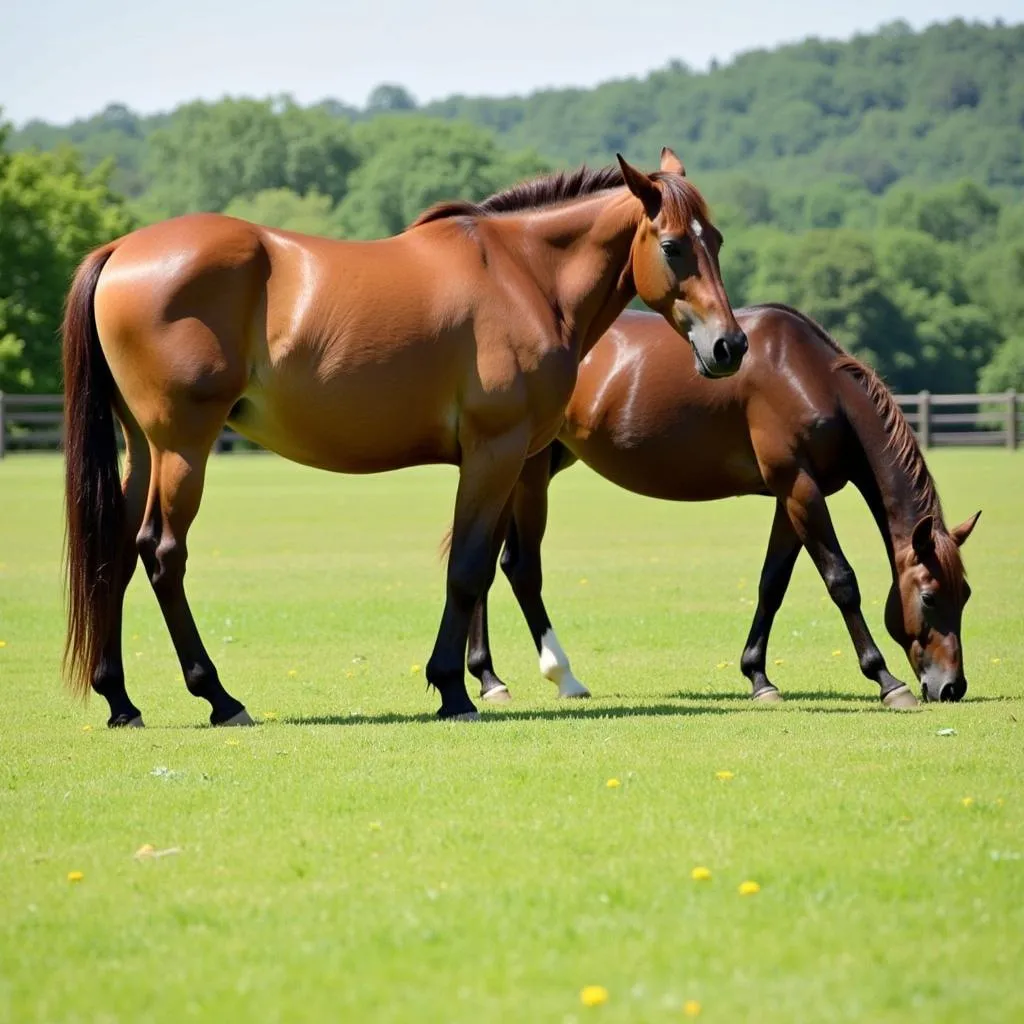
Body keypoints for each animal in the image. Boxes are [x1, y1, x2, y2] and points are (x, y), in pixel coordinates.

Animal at [64, 149, 749, 729]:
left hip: (144, 449)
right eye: (673, 246)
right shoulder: (497, 452)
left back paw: (120, 700)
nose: (730, 346)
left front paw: (478, 681)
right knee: (161, 553)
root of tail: (121, 249)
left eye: (715, 240)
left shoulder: (510, 460)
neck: (525, 276)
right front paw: (453, 689)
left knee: (116, 554)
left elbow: (486, 564)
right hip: (183, 447)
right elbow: (471, 568)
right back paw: (219, 697)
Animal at [468, 299, 978, 708]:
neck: (809, 377)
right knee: (519, 568)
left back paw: (488, 677)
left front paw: (759, 678)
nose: (952, 687)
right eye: (929, 596)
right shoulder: (799, 488)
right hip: (529, 472)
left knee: (487, 564)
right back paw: (559, 677)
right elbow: (841, 581)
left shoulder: (790, 497)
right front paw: (886, 680)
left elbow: (772, 584)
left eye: (967, 595)